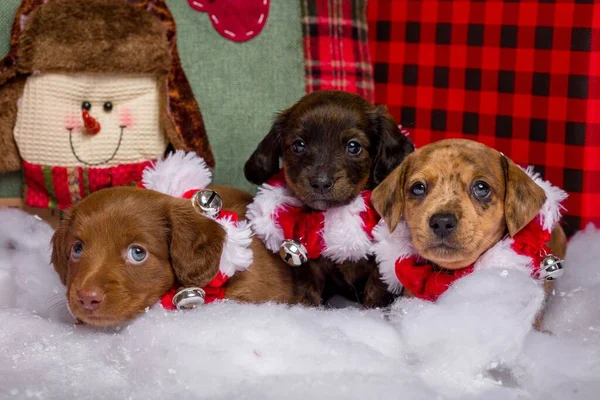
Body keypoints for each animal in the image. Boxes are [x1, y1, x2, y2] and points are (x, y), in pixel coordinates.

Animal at [243, 90, 412, 308]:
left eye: (353, 147)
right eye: (298, 145)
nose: (320, 183)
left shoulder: (382, 260)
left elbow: (376, 288)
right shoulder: (309, 266)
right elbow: (307, 290)